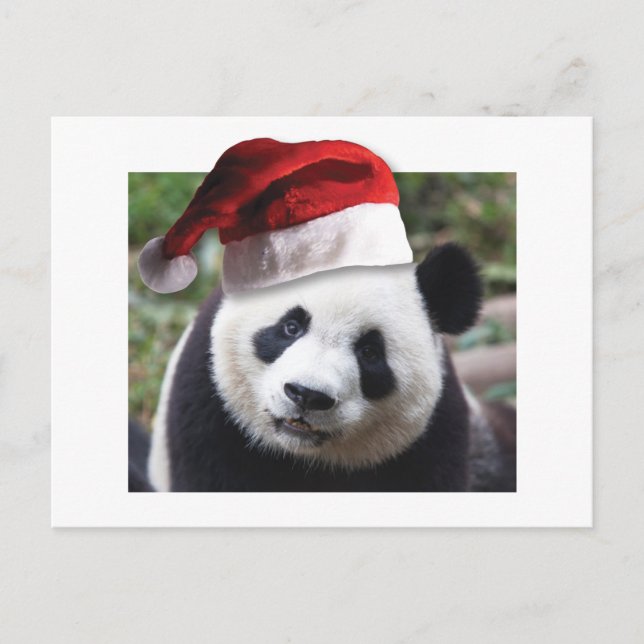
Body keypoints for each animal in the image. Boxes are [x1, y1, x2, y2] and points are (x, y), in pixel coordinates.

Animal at [139, 242, 515, 492]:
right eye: (291, 327)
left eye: (369, 352)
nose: (306, 395)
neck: (304, 457)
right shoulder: (209, 405)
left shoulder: (431, 436)